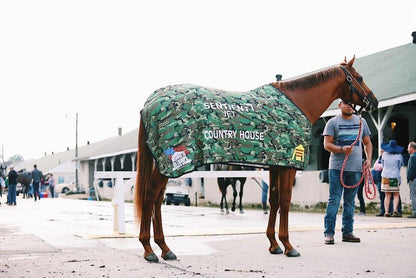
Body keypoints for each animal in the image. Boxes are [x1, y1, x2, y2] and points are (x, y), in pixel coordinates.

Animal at [133, 55, 376, 262]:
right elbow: (285, 201)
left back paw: (165, 249)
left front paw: (274, 245)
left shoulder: (277, 165)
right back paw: (149, 250)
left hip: (164, 167)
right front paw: (289, 246)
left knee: (157, 200)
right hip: (169, 165)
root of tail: (150, 102)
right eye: (360, 78)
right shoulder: (288, 166)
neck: (298, 102)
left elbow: (274, 200)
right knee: (150, 196)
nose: (373, 102)